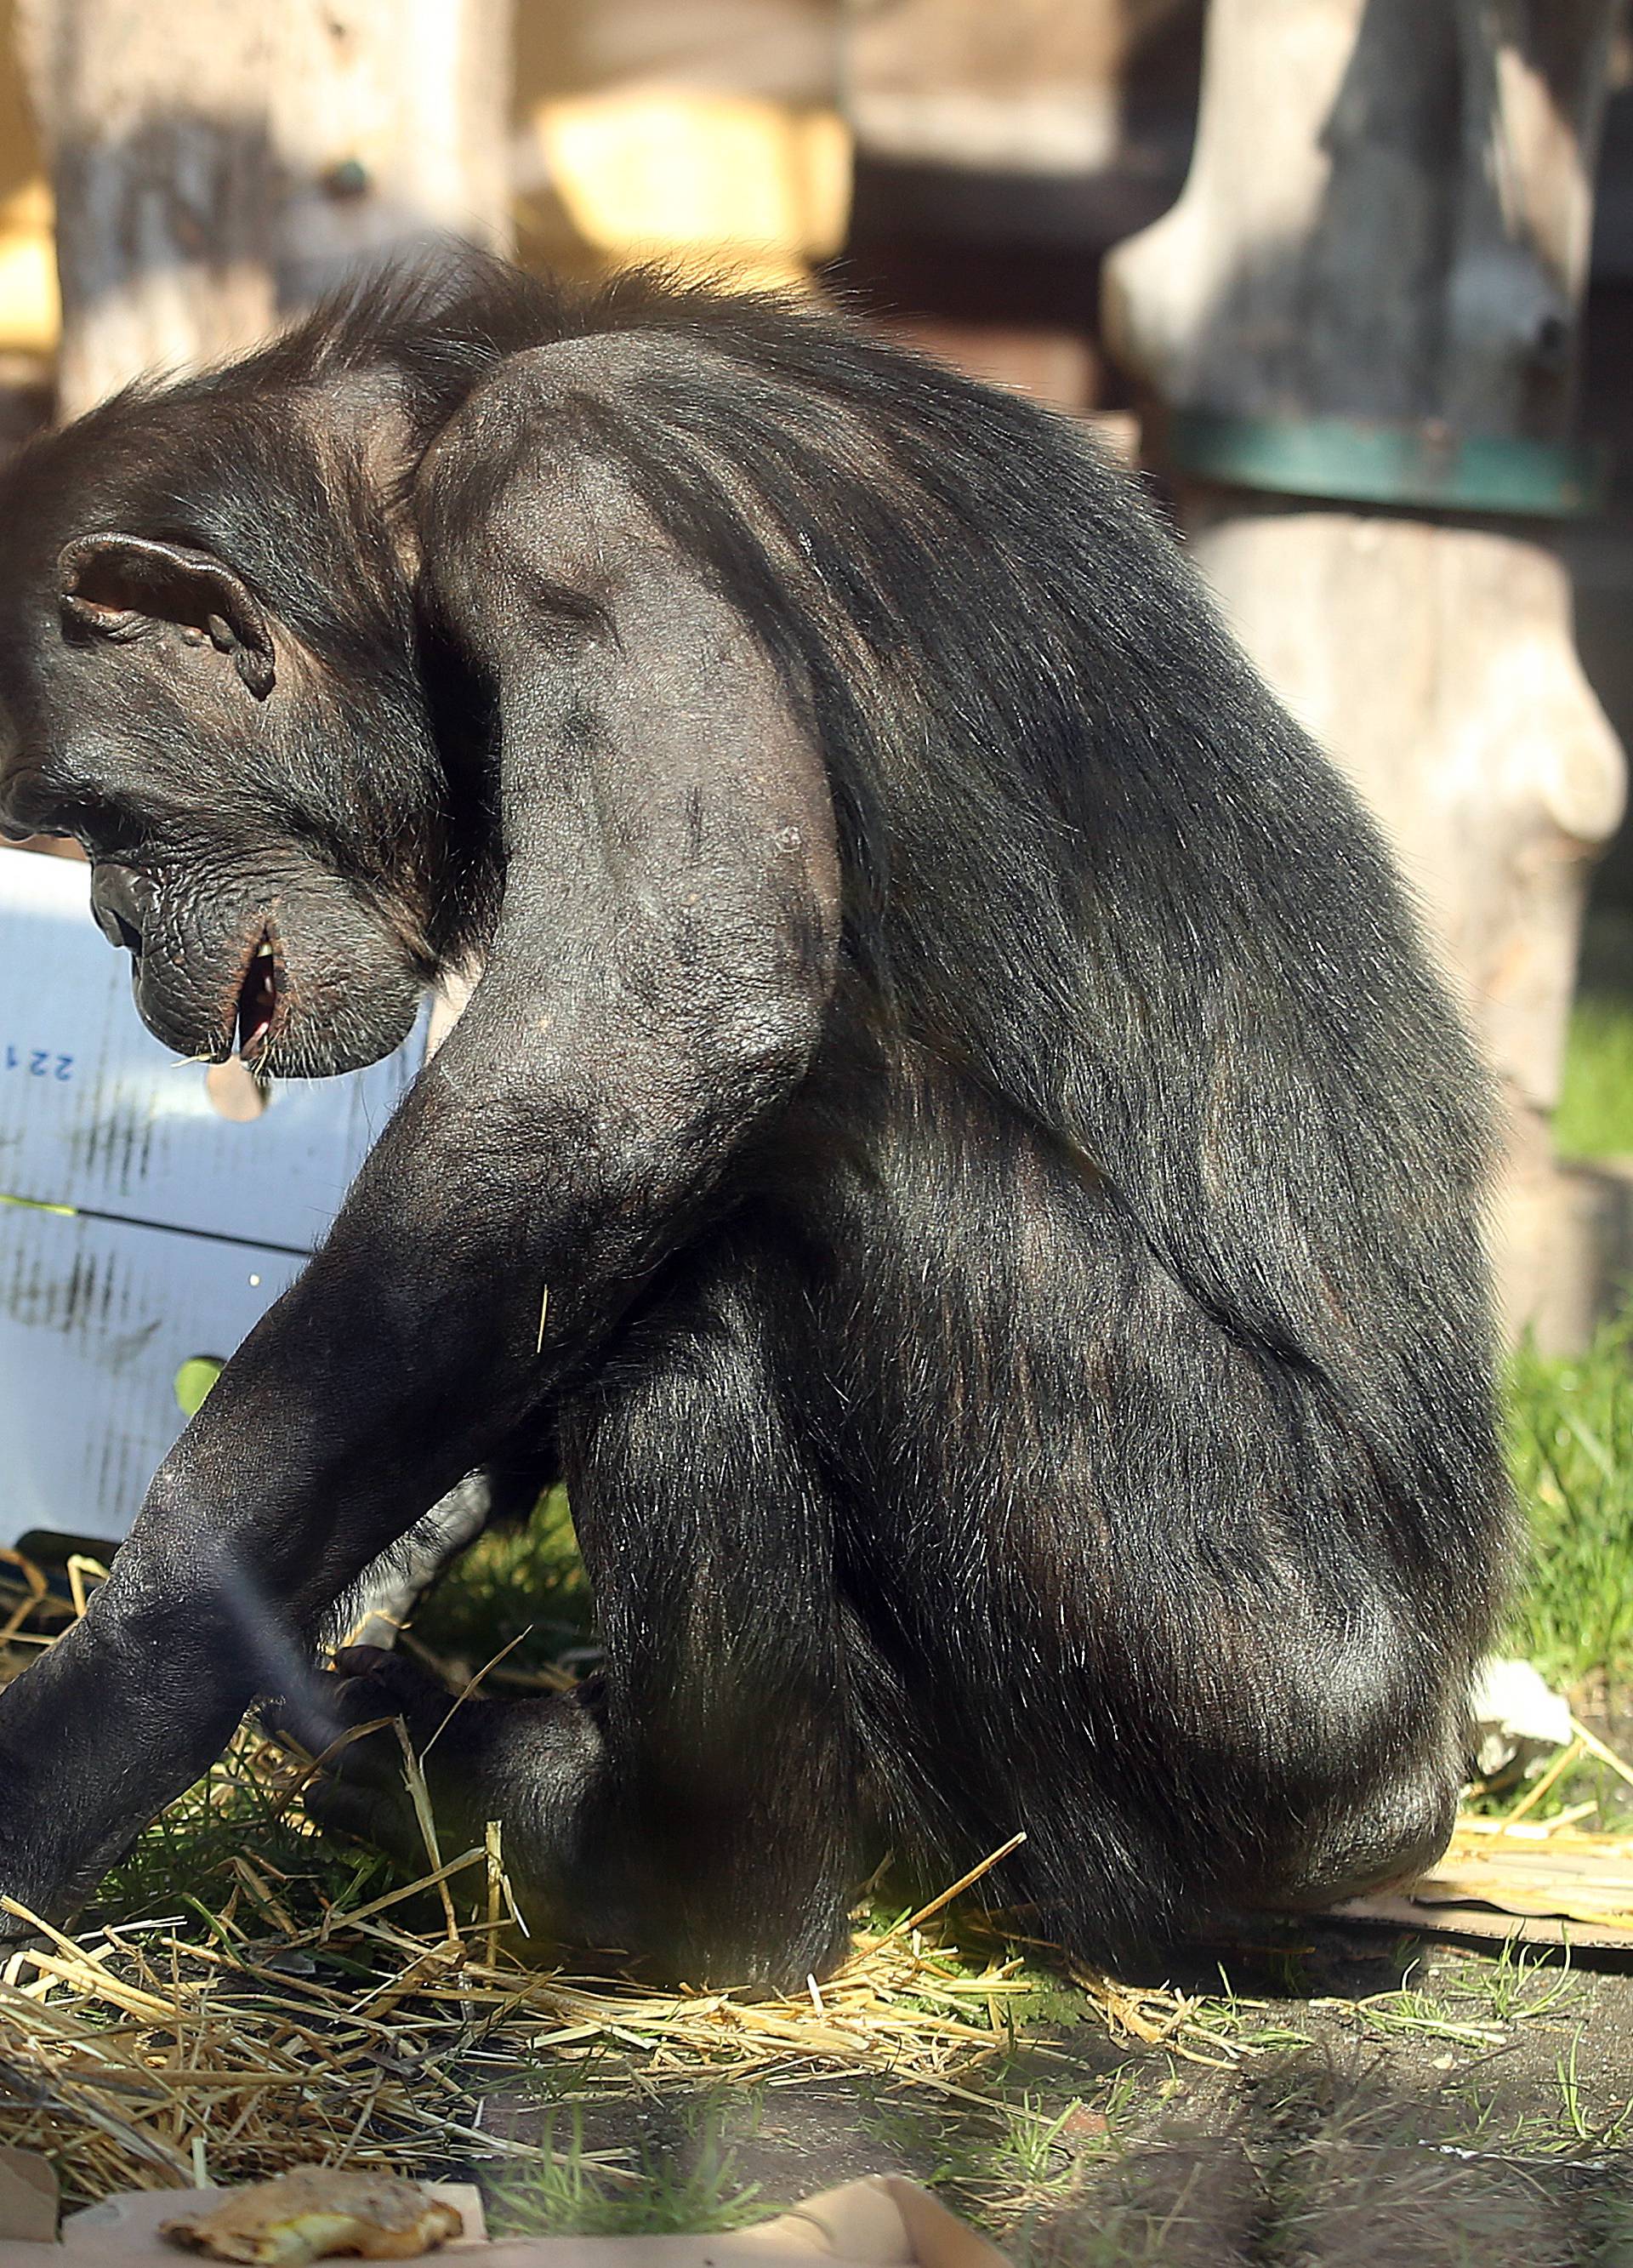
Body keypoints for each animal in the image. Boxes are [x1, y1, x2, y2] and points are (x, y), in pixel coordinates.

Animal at [0, 253, 1515, 1986]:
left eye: (90, 819)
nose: (113, 922)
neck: (413, 488)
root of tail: (1416, 1790)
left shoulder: (571, 494)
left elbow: (646, 1035)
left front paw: (101, 1709)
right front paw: (384, 1545)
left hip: (1248, 1689)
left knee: (757, 1209)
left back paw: (658, 1874)